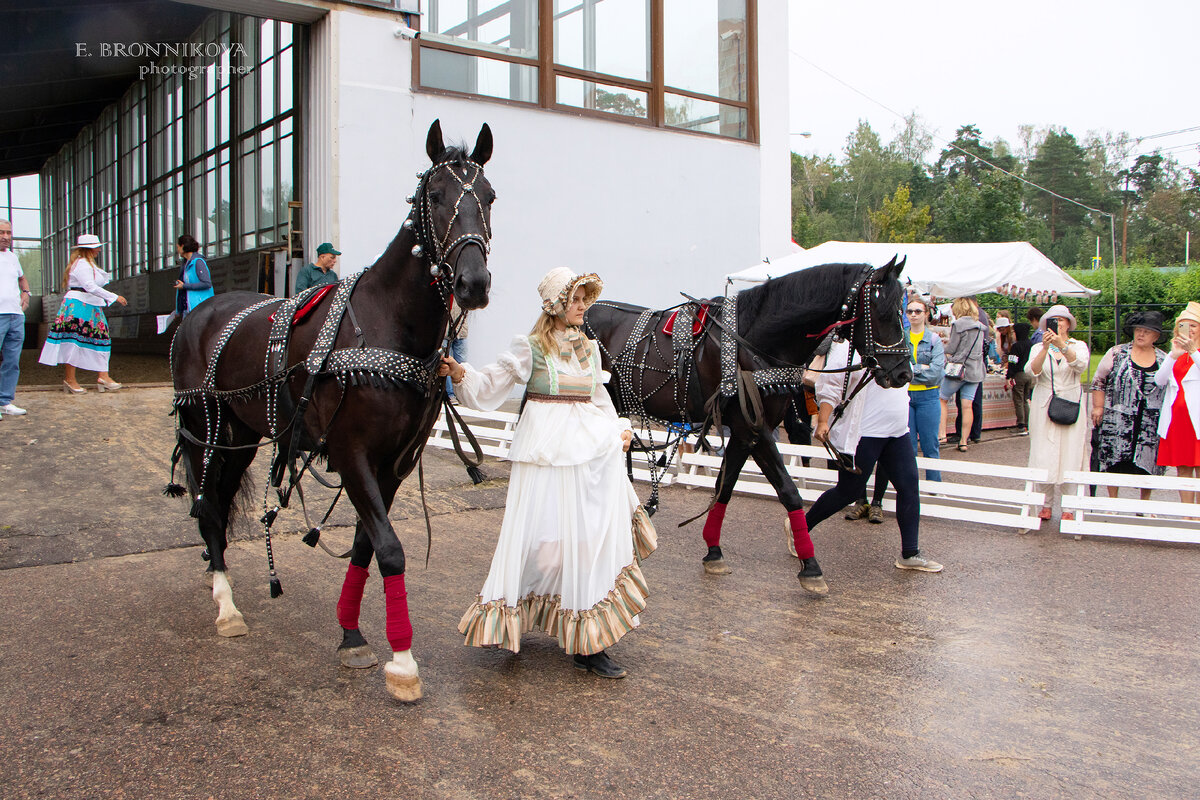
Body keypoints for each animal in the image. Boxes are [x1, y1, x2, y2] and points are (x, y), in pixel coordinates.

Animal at [169, 118, 492, 700]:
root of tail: (199, 313)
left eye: (491, 196)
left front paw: (351, 633)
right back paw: (226, 606)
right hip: (205, 427)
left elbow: (367, 543)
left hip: (242, 435)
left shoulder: (393, 465)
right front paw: (403, 661)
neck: (387, 324)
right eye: (435, 195)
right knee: (206, 506)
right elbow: (389, 547)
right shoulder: (350, 452)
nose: (473, 283)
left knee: (220, 506)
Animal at [585, 257, 912, 594]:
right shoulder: (754, 429)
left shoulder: (745, 433)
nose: (903, 373)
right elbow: (788, 490)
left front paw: (713, 550)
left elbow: (725, 487)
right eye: (882, 311)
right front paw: (811, 566)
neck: (755, 342)